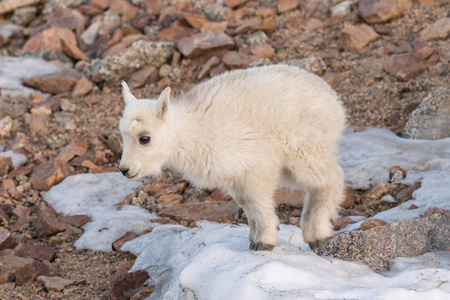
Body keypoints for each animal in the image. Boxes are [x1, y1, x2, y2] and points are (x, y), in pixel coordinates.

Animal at [118, 64, 344, 250]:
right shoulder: (236, 177)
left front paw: (265, 241)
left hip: (304, 149)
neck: (192, 131)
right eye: (122, 135)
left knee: (331, 179)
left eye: (144, 138)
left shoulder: (257, 164)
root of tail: (335, 102)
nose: (125, 169)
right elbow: (246, 205)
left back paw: (319, 233)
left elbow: (256, 200)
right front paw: (254, 238)